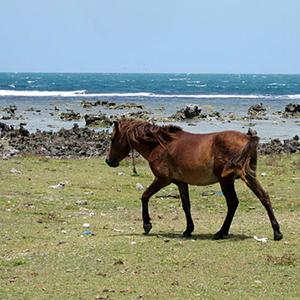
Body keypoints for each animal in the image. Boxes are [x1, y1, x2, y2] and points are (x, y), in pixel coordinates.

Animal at [106, 118, 284, 241]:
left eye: (112, 138)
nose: (109, 161)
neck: (160, 145)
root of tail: (247, 139)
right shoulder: (181, 183)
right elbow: (186, 205)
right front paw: (188, 230)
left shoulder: (162, 179)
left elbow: (145, 196)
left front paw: (147, 225)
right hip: (249, 177)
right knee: (264, 197)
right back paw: (277, 232)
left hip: (226, 181)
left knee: (233, 203)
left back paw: (221, 232)